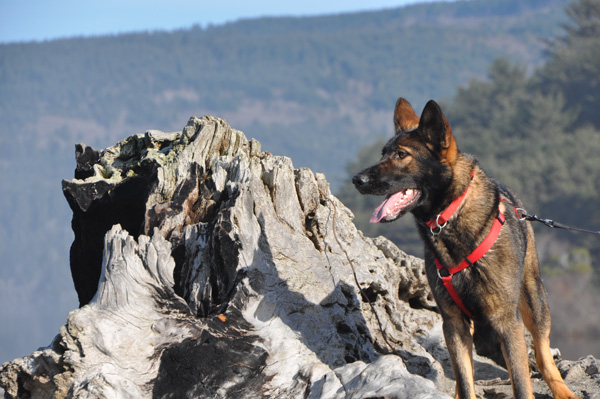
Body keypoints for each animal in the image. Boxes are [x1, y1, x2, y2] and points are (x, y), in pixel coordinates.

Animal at [352, 99, 576, 399]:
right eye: (383, 154)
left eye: (401, 155)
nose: (357, 179)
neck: (450, 216)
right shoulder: (453, 323)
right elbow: (466, 379)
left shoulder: (507, 322)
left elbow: (521, 383)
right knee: (464, 375)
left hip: (534, 301)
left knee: (542, 354)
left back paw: (563, 390)